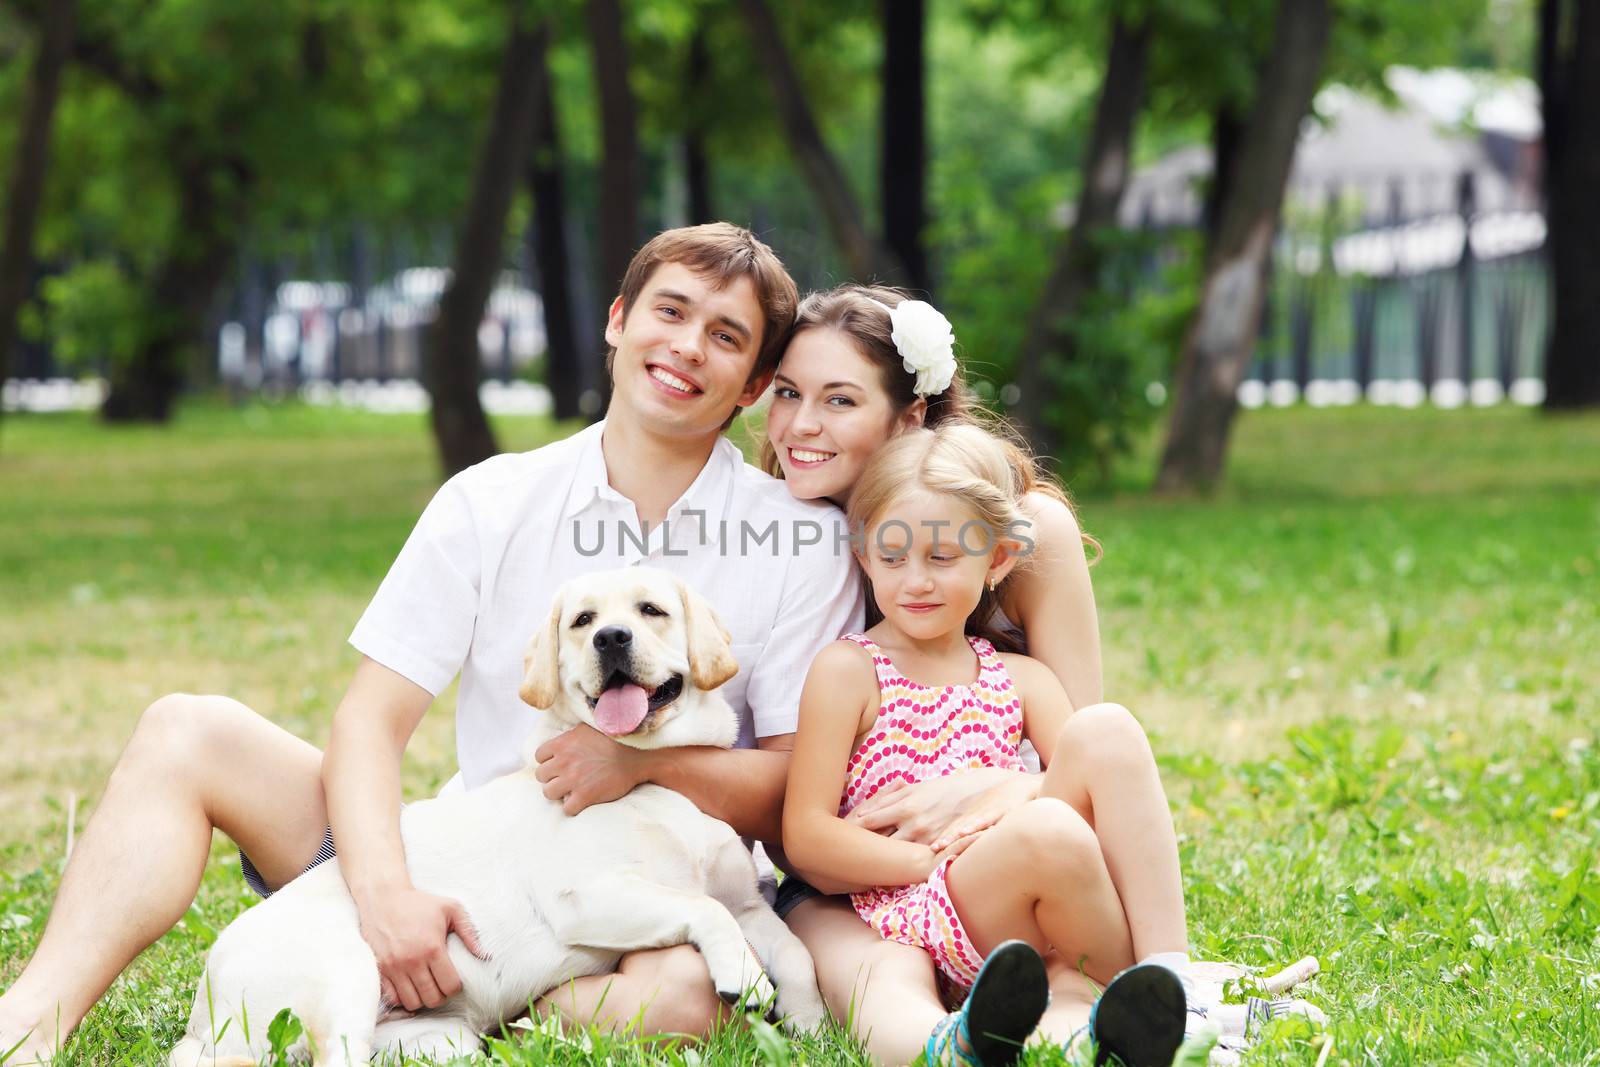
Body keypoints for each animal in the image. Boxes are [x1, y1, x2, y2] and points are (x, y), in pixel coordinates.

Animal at [172, 563, 825, 1062]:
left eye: (651, 610)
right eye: (583, 621)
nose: (611, 638)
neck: (653, 775)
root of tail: (204, 1013)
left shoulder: (748, 905)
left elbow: (796, 953)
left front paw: (812, 1023)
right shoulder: (586, 896)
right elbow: (702, 906)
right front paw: (744, 972)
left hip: (441, 1043)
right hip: (345, 975)